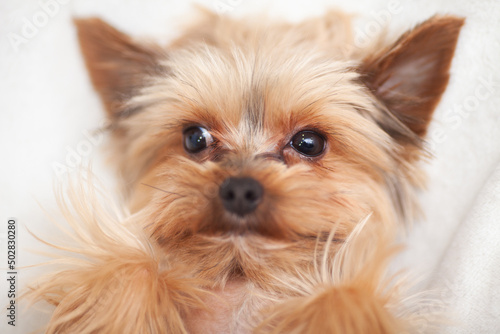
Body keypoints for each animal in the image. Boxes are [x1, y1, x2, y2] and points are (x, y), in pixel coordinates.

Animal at [27, 7, 464, 334]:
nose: (239, 189)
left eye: (309, 142)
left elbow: (343, 300)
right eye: (195, 138)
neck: (242, 277)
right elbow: (130, 269)